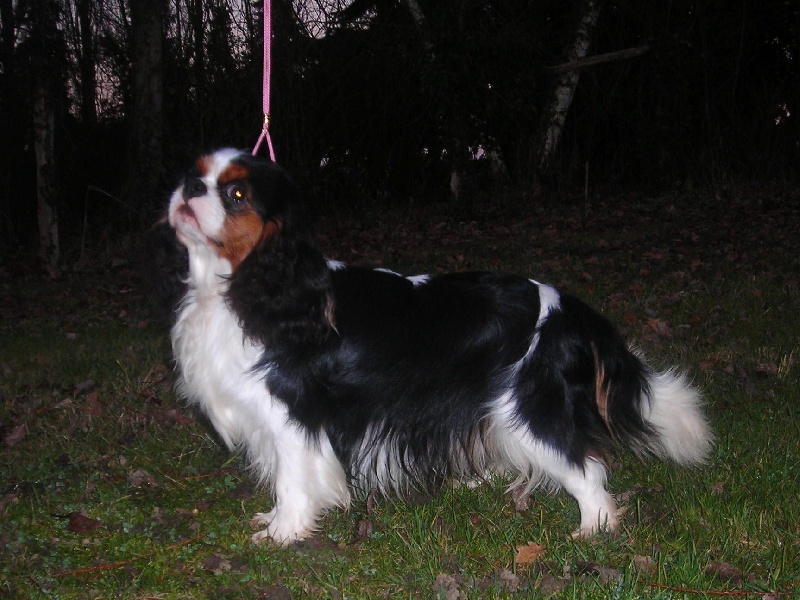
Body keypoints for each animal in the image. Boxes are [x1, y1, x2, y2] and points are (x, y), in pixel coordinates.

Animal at [167, 148, 713, 545]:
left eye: (237, 193)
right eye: (196, 173)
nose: (189, 186)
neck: (251, 287)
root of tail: (568, 308)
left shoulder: (293, 415)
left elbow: (291, 478)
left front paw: (285, 531)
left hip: (531, 410)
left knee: (587, 467)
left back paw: (593, 528)